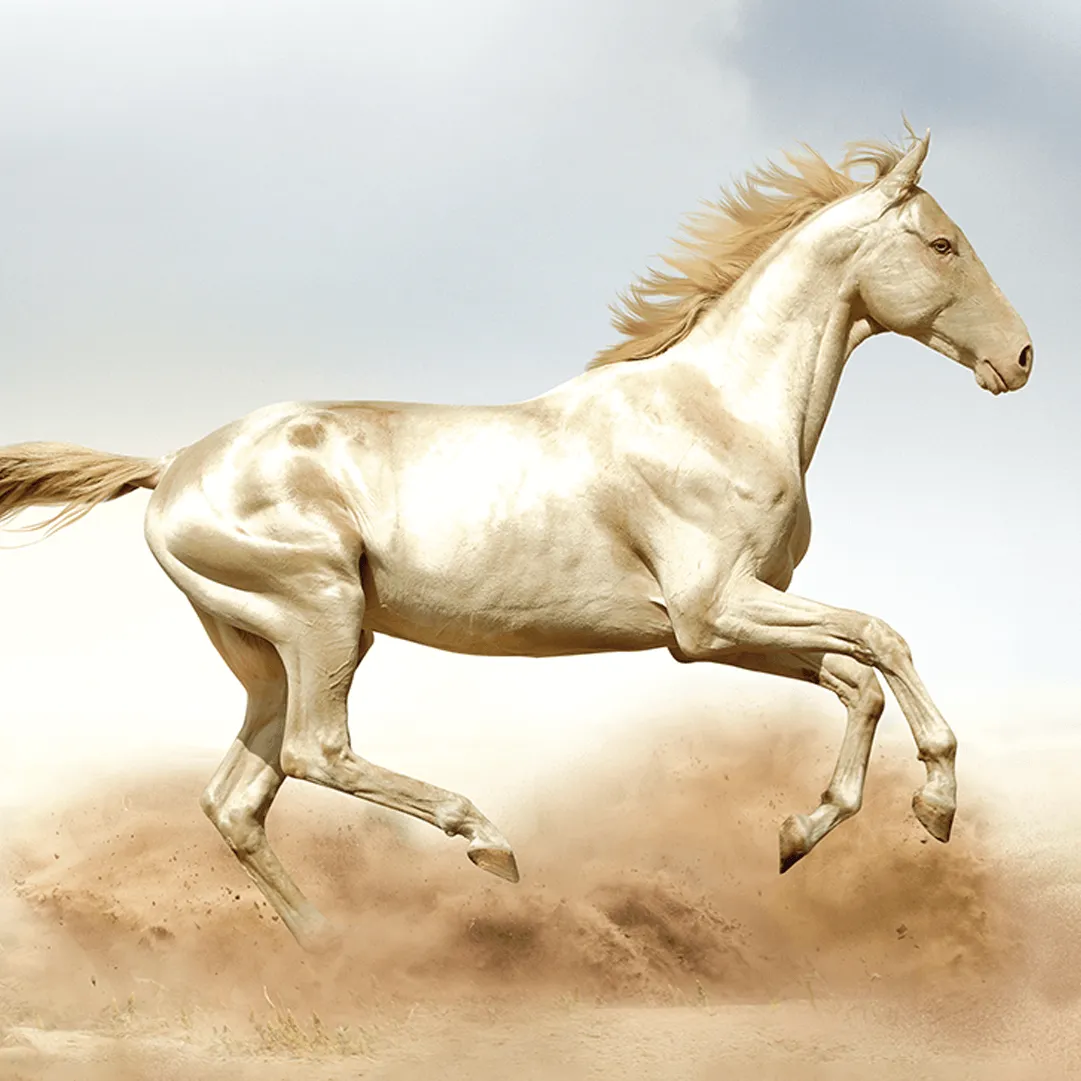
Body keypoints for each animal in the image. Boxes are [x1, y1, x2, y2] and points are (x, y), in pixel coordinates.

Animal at [0, 129, 1032, 952]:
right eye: (942, 243)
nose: (1020, 357)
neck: (717, 410)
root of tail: (173, 462)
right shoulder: (714, 610)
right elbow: (883, 637)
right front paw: (936, 804)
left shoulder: (715, 629)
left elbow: (858, 678)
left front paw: (799, 833)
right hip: (321, 617)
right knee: (315, 753)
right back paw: (484, 843)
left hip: (267, 651)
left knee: (237, 798)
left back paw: (332, 948)